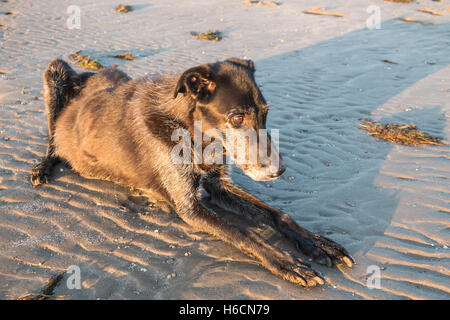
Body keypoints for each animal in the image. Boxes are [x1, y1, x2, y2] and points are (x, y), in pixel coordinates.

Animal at [31, 58, 356, 288]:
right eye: (237, 118)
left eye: (265, 113)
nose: (280, 170)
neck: (190, 132)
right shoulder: (188, 206)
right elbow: (243, 231)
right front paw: (284, 262)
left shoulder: (218, 186)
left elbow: (277, 215)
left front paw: (317, 243)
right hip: (55, 72)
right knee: (52, 137)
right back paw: (44, 166)